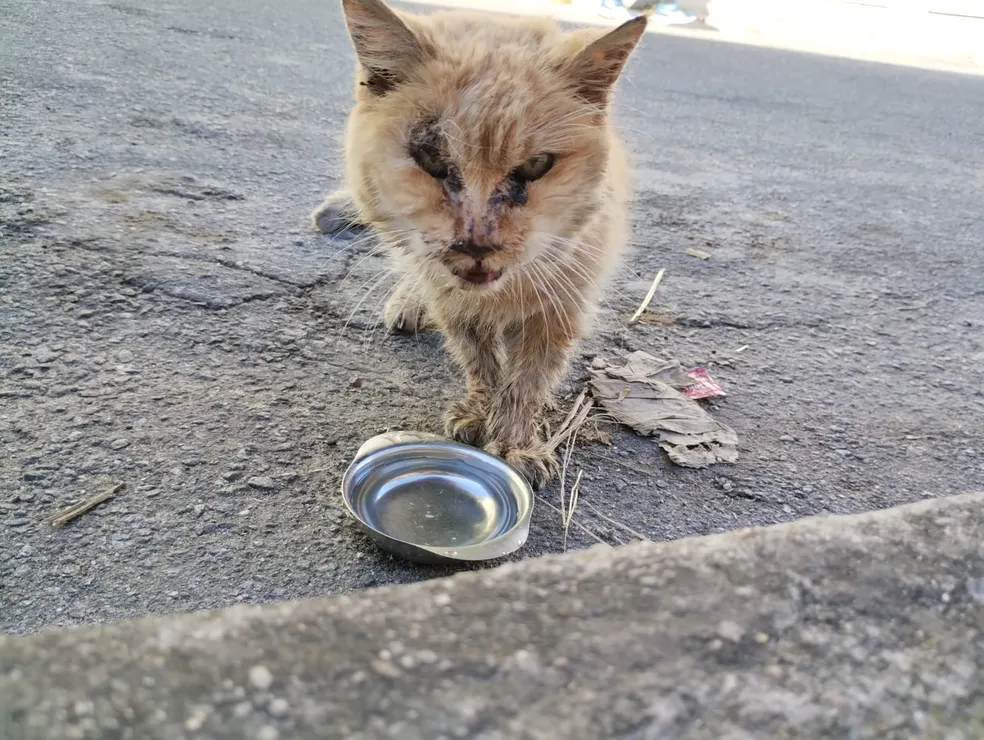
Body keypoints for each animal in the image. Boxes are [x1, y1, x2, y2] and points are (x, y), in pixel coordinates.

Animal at [314, 1, 644, 492]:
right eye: (431, 158)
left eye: (536, 165)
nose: (476, 243)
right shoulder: (454, 304)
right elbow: (480, 361)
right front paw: (482, 414)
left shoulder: (560, 307)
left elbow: (527, 380)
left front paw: (512, 442)